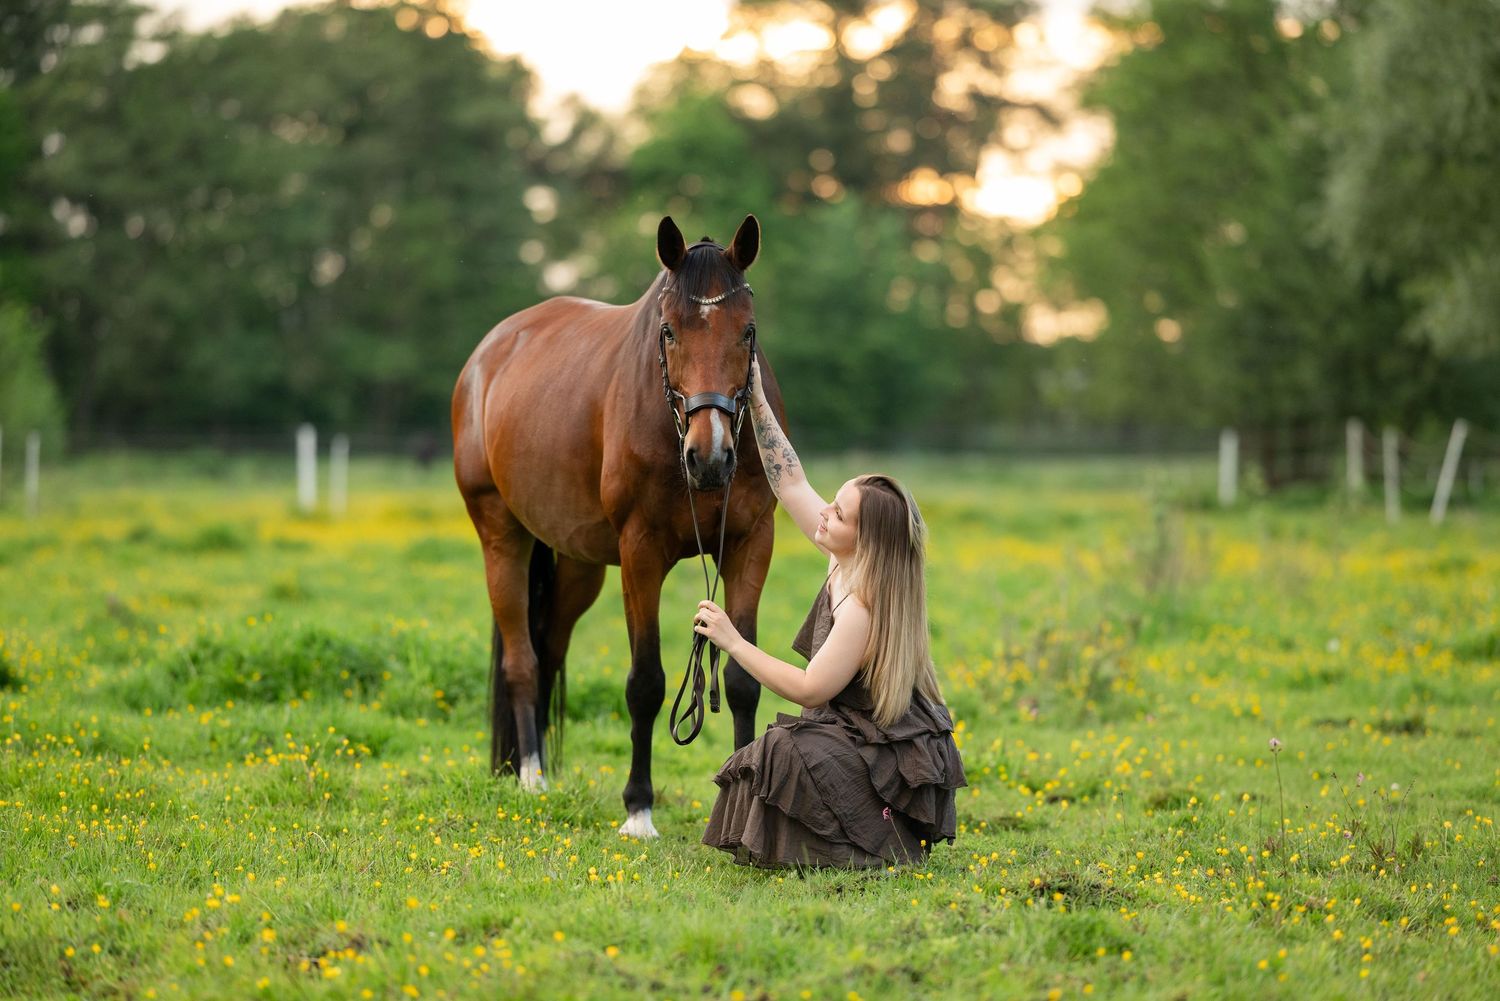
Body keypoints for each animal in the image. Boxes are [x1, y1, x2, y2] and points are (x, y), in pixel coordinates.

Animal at [451, 214, 785, 837]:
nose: (710, 458)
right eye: (670, 331)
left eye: (747, 331)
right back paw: (531, 777)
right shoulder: (641, 554)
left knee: (548, 650)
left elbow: (743, 680)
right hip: (501, 536)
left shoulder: (752, 544)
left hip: (578, 565)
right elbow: (646, 682)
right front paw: (638, 809)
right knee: (522, 661)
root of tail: (488, 354)